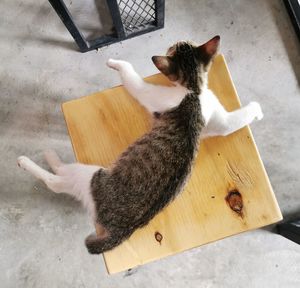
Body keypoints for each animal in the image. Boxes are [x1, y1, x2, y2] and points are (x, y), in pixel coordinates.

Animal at [18, 36, 262, 254]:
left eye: (172, 47)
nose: (172, 42)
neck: (193, 89)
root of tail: (124, 229)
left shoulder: (147, 92)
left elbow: (130, 75)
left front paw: (114, 62)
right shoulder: (217, 121)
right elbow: (233, 122)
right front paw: (256, 110)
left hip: (92, 176)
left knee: (56, 181)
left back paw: (34, 160)